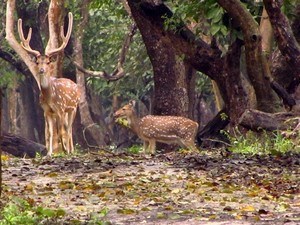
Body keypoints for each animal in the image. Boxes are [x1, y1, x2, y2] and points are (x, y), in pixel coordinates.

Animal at [17, 12, 79, 156]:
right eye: (37, 62)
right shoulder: (46, 111)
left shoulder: (60, 109)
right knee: (67, 128)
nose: (41, 70)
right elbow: (50, 132)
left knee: (69, 128)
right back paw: (70, 149)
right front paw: (49, 153)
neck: (50, 96)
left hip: (73, 107)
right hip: (66, 111)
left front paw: (65, 150)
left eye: (48, 62)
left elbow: (61, 132)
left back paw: (71, 150)